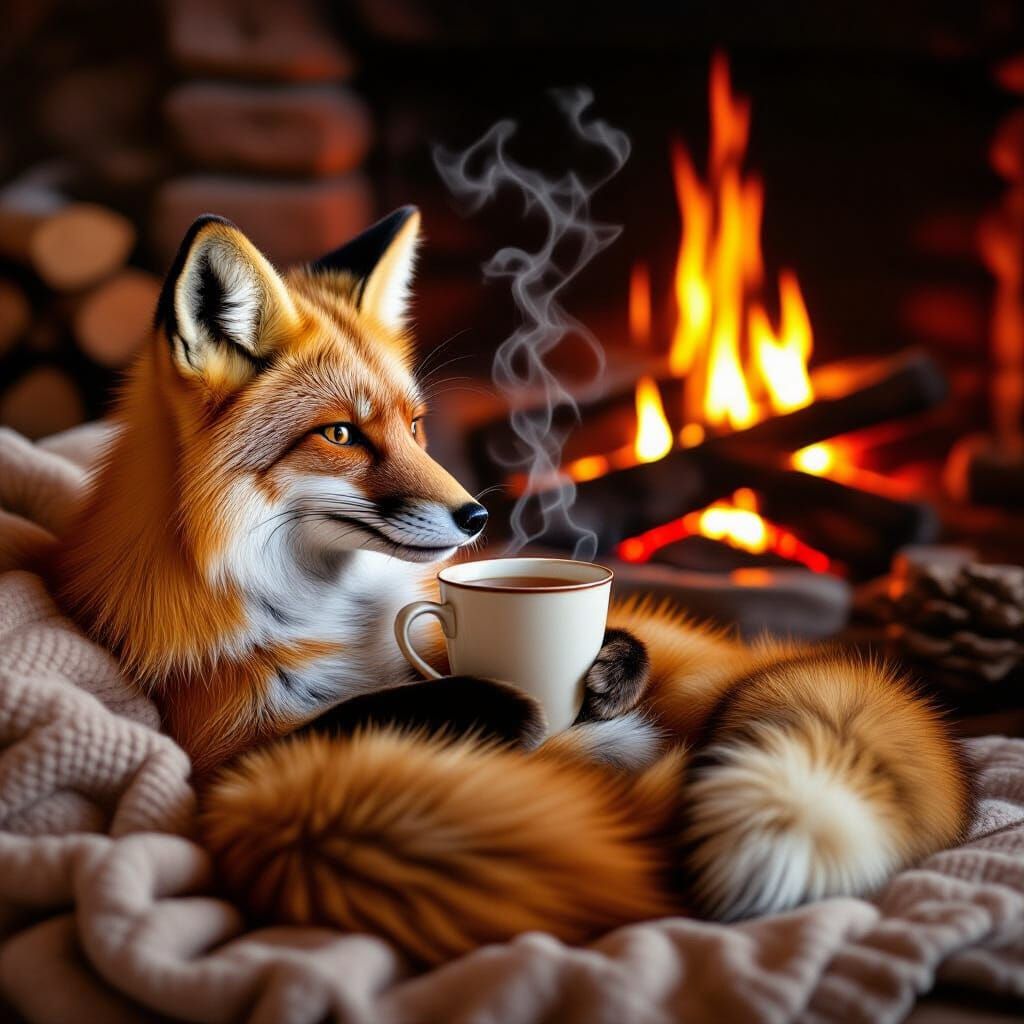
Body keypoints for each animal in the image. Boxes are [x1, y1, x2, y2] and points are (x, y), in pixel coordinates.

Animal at [56, 207, 975, 965]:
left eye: (416, 427)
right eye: (342, 435)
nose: (474, 516)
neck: (334, 609)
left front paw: (607, 669)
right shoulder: (219, 756)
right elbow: (369, 709)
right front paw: (502, 703)